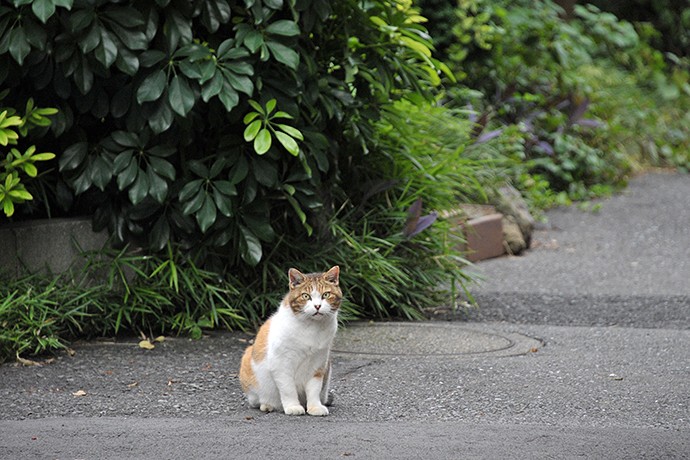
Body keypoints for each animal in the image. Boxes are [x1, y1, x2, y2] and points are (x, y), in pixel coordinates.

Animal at [239, 264, 342, 416]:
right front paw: (293, 406)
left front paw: (315, 407)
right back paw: (267, 405)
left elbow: (314, 389)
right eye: (306, 296)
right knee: (257, 401)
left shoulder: (318, 363)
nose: (317, 306)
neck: (312, 328)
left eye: (326, 295)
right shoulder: (281, 364)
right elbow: (288, 389)